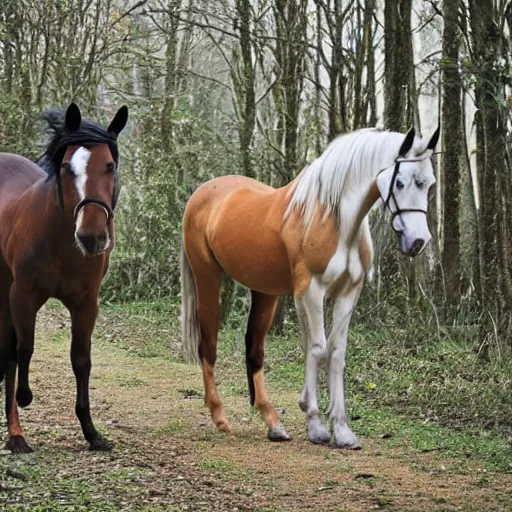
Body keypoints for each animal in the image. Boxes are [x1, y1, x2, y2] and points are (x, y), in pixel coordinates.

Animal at [0, 103, 128, 452]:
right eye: (68, 166)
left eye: (110, 166)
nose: (91, 237)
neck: (59, 238)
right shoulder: (22, 295)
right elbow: (22, 350)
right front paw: (21, 413)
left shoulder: (86, 303)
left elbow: (81, 360)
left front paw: (92, 433)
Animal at [181, 127, 440, 448]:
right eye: (401, 182)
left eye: (429, 183)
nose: (418, 242)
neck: (335, 221)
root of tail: (202, 192)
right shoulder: (312, 291)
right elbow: (317, 350)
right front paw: (316, 425)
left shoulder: (347, 293)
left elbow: (336, 353)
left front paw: (341, 429)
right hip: (207, 277)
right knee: (209, 344)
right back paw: (219, 416)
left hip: (264, 292)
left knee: (254, 350)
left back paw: (273, 422)